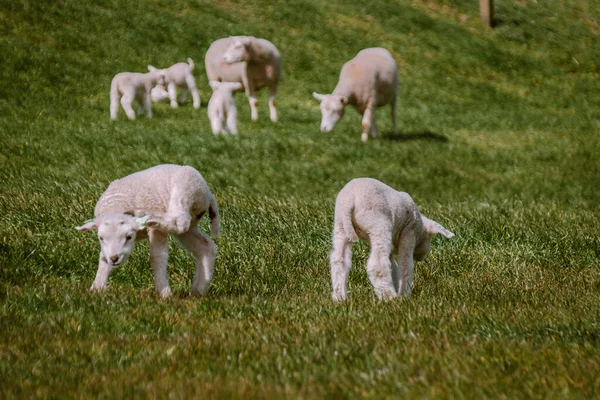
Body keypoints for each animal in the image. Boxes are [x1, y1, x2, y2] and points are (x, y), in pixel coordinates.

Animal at [75, 164, 220, 298]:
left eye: (129, 237)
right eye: (101, 238)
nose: (114, 258)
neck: (116, 207)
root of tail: (208, 194)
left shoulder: (157, 232)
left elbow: (157, 257)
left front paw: (164, 293)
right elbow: (103, 258)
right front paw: (97, 289)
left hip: (185, 190)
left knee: (179, 222)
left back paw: (147, 216)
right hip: (191, 222)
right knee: (204, 247)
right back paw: (198, 290)